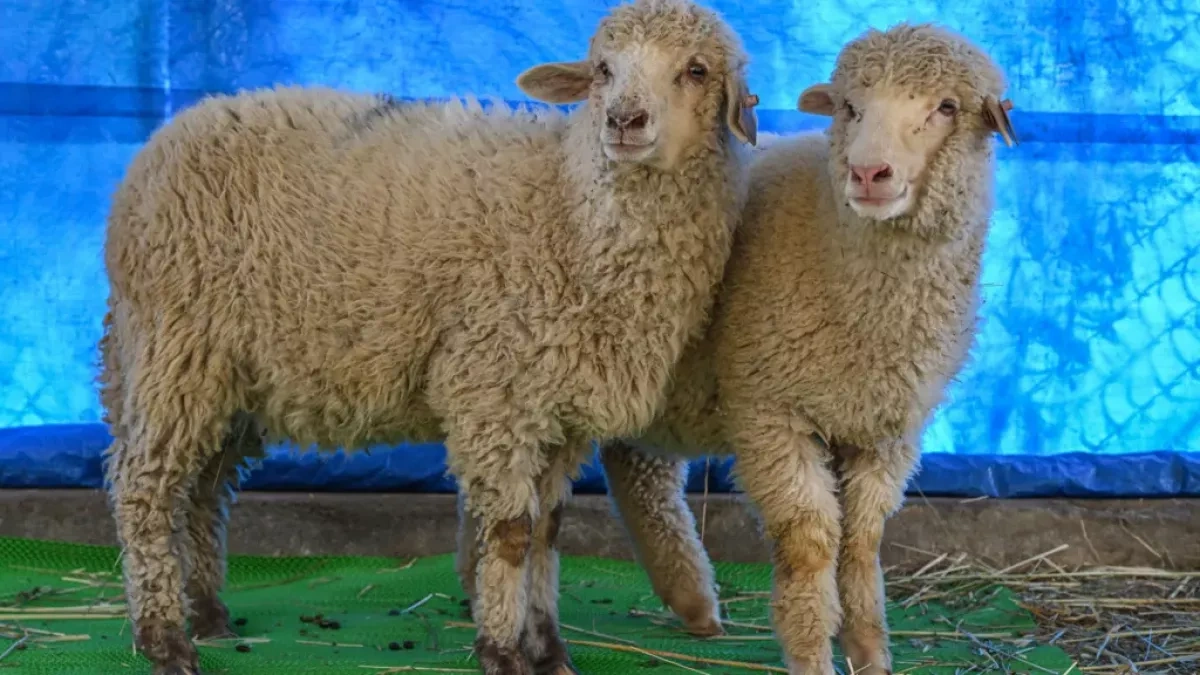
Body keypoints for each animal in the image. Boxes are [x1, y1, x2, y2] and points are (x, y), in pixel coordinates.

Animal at [96, 0, 759, 672]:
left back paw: (208, 615)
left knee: (203, 491)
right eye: (602, 69)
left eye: (697, 70)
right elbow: (511, 534)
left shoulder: (559, 410)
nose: (625, 120)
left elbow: (548, 530)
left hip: (229, 375)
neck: (569, 209)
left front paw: (548, 649)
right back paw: (163, 636)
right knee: (145, 489)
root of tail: (156, 149)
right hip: (177, 347)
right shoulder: (495, 391)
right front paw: (502, 650)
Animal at [594, 23, 1018, 675]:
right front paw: (812, 651)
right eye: (849, 108)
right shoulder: (770, 412)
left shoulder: (885, 430)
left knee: (637, 467)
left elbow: (863, 541)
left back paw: (693, 603)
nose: (868, 174)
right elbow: (811, 542)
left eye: (947, 107)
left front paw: (869, 650)